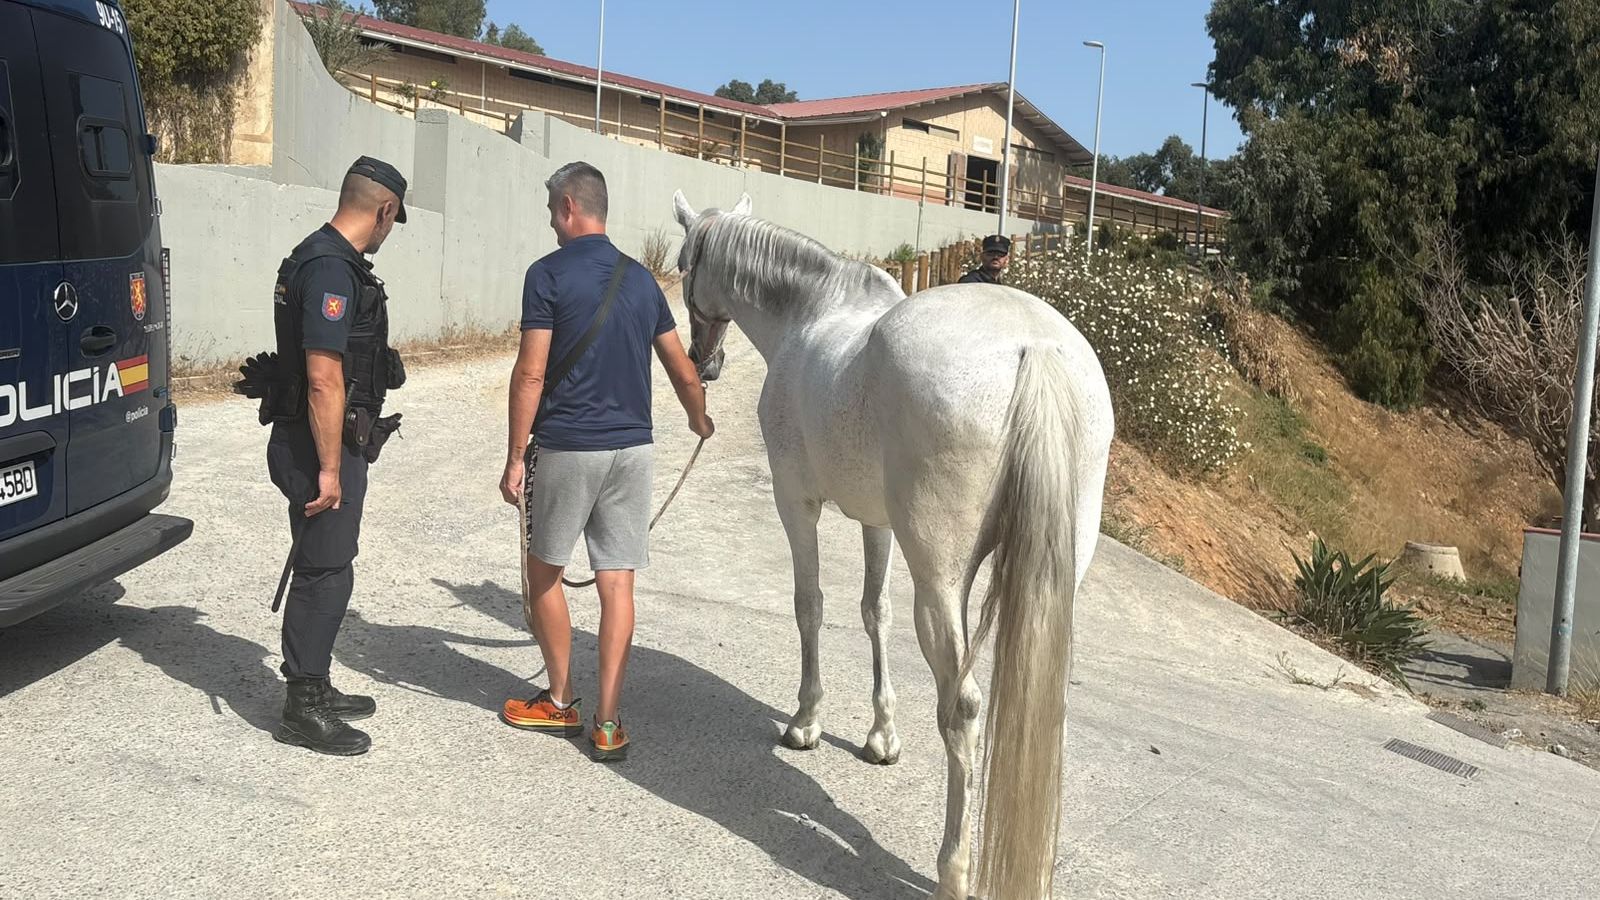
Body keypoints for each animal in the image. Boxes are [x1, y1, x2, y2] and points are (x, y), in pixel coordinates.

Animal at [671, 190, 1114, 899]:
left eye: (685, 266)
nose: (702, 360)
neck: (811, 311)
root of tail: (1035, 348)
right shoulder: (874, 522)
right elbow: (871, 613)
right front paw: (881, 735)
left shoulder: (796, 503)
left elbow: (811, 606)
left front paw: (806, 722)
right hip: (1051, 580)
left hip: (939, 581)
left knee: (962, 706)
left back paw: (952, 869)